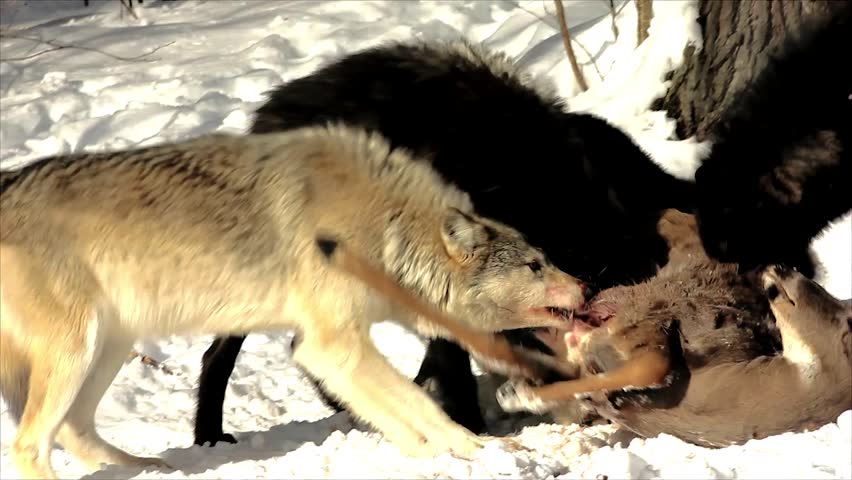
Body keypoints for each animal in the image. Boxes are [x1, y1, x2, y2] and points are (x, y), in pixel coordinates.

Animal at [0, 124, 584, 480]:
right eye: (535, 265)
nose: (583, 287)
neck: (386, 229)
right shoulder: (333, 347)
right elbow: (421, 404)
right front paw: (478, 450)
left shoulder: (323, 352)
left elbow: (396, 416)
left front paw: (431, 455)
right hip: (78, 348)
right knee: (30, 443)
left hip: (111, 346)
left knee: (74, 430)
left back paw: (152, 468)